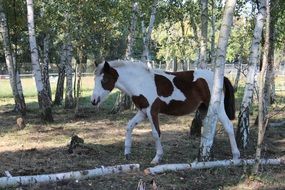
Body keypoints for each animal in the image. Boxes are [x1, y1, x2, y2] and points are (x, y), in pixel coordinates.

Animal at [91, 60, 240, 164]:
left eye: (104, 79)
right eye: (94, 79)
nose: (93, 100)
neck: (141, 82)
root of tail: (221, 77)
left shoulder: (152, 112)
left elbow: (156, 133)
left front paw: (157, 158)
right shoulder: (143, 112)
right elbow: (129, 126)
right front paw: (127, 153)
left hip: (218, 108)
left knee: (228, 126)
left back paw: (236, 156)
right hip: (204, 108)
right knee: (209, 129)